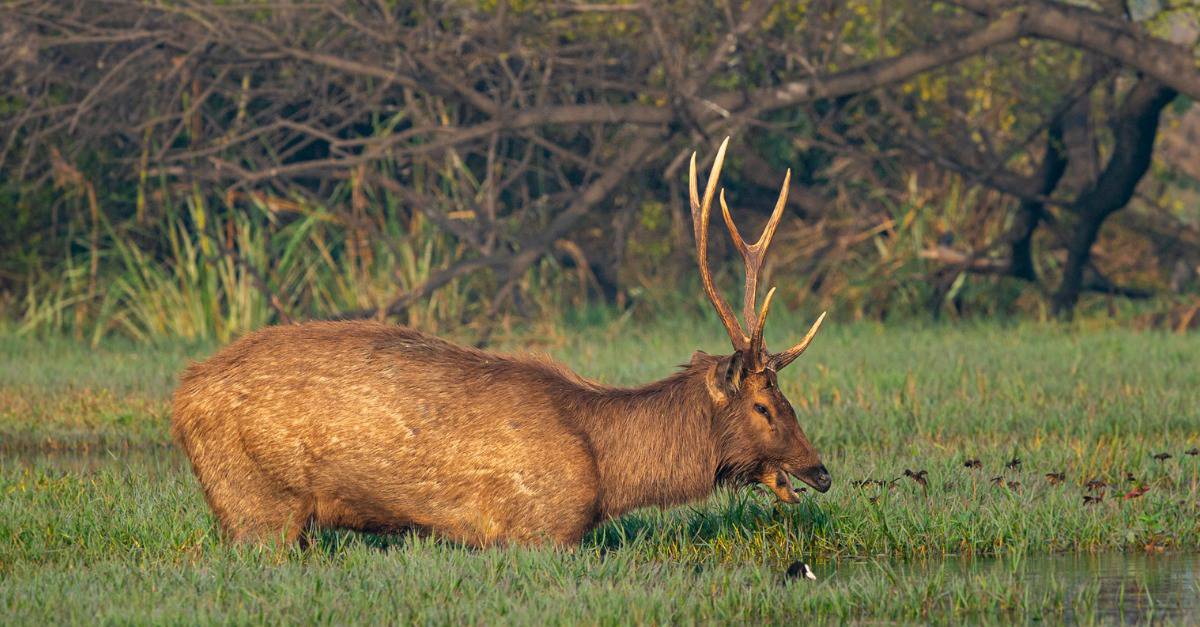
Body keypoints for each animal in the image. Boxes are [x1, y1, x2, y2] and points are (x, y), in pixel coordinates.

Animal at [171, 137, 831, 548]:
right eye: (764, 406)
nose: (821, 472)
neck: (610, 469)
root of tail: (183, 395)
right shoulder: (541, 529)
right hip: (259, 505)